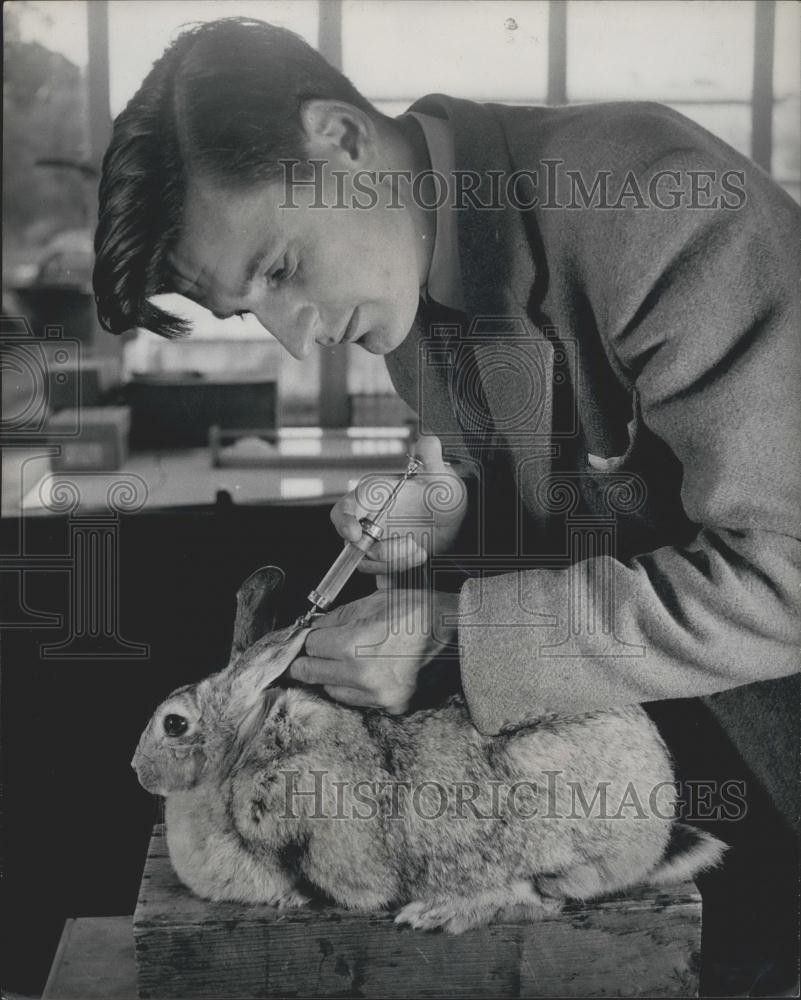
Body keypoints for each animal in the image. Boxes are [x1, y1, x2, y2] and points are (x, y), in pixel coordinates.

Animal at [133, 568, 724, 932]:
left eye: (174, 724)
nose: (137, 770)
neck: (242, 751)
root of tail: (654, 834)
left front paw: (295, 896)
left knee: (539, 900)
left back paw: (437, 913)